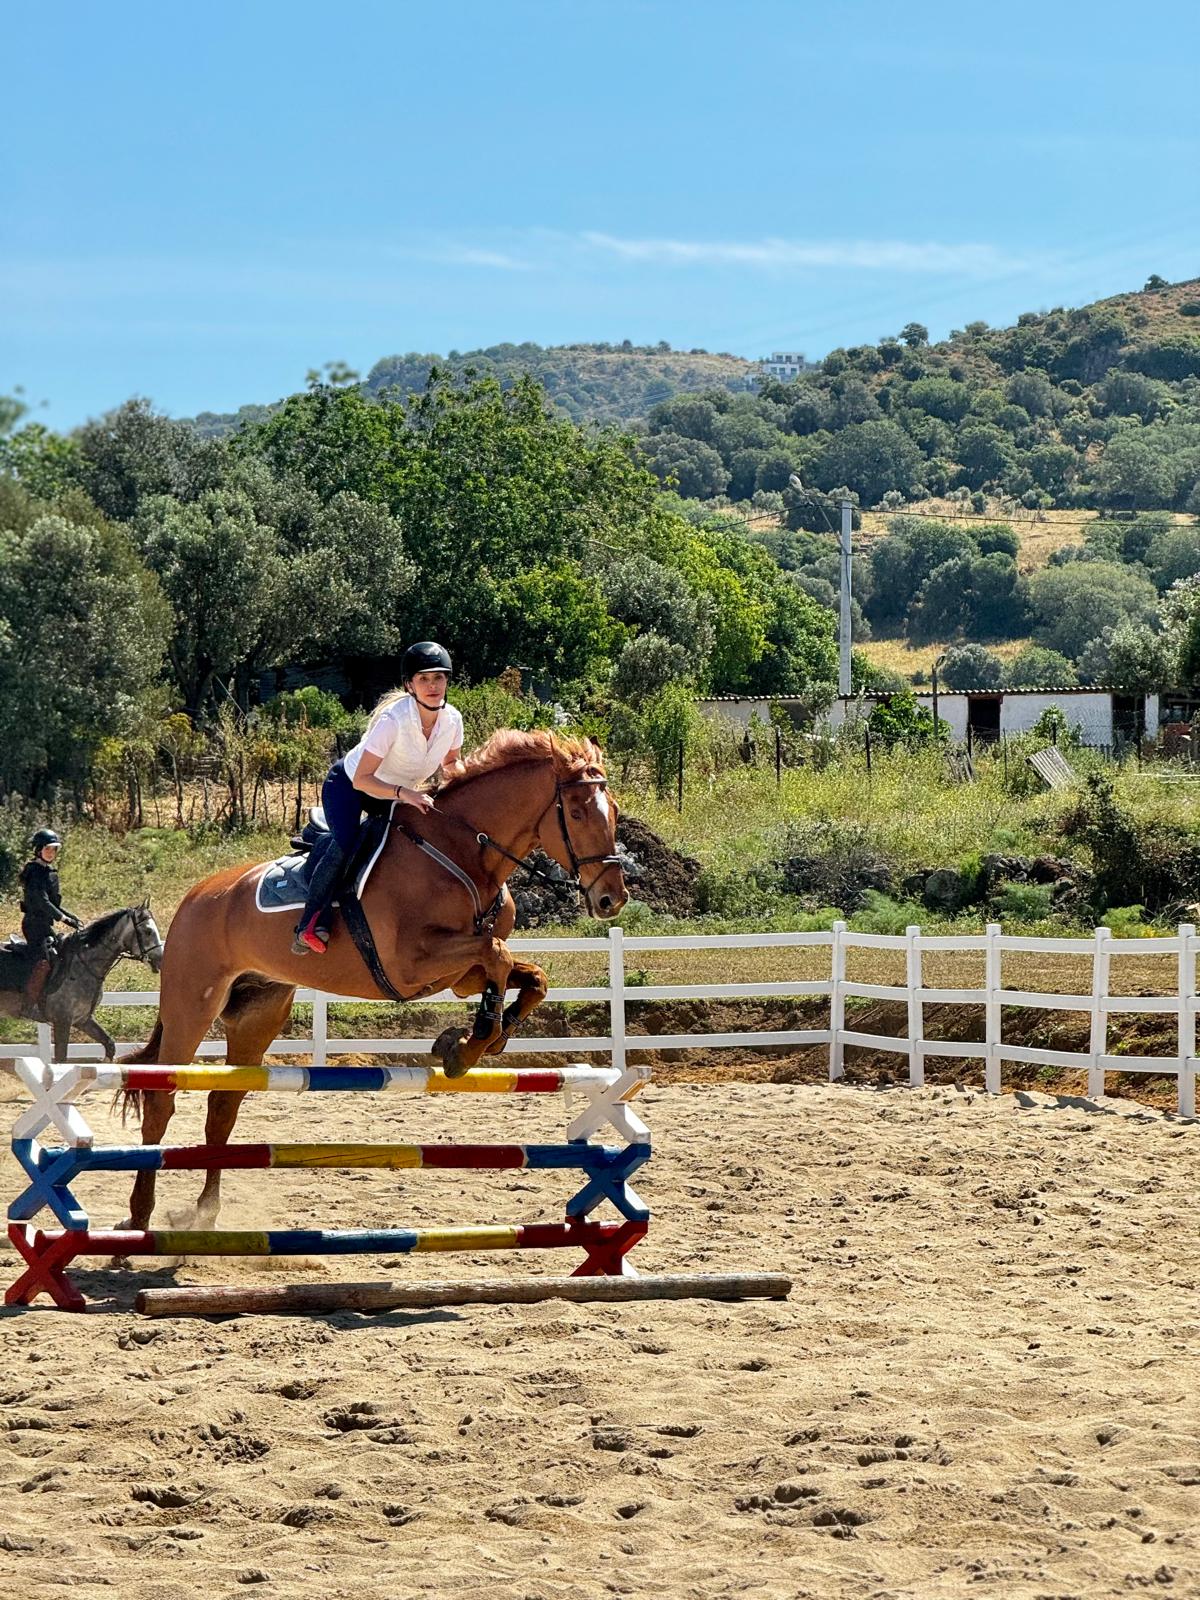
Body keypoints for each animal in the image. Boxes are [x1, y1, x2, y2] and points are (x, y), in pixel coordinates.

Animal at [0, 902, 163, 1062]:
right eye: (148, 931)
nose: (160, 959)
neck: (84, 965)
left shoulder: (83, 1020)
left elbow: (109, 1045)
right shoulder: (62, 1022)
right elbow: (61, 1059)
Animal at [122, 732, 630, 1228]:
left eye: (613, 811)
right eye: (578, 812)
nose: (612, 899)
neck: (462, 854)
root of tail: (194, 898)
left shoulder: (458, 974)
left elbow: (527, 975)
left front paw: (478, 1038)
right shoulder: (411, 964)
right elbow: (498, 955)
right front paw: (475, 1040)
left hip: (258, 1013)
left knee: (223, 1106)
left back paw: (204, 1211)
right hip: (192, 1007)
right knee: (160, 1100)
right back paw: (140, 1212)